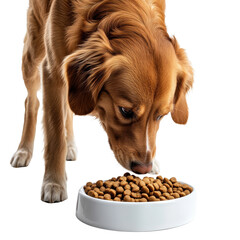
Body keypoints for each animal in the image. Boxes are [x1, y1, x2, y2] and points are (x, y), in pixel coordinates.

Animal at [10, 0, 193, 202]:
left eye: (161, 116)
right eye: (125, 111)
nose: (143, 167)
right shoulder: (52, 72)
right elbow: (55, 135)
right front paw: (54, 183)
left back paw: (70, 145)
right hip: (33, 53)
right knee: (31, 102)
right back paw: (24, 150)